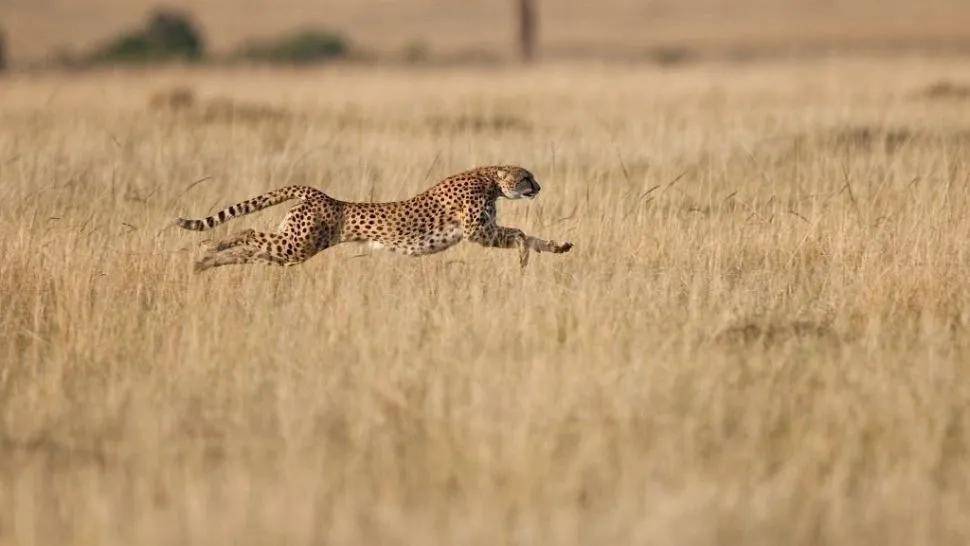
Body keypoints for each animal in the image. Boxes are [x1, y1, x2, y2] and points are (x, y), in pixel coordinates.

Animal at [174, 164, 572, 270]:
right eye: (526, 177)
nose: (539, 187)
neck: (489, 178)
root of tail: (318, 193)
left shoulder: (484, 229)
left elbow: (532, 235)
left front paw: (557, 246)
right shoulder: (478, 232)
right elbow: (518, 232)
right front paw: (523, 256)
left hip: (290, 245)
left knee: (252, 247)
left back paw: (206, 260)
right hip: (298, 245)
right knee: (249, 232)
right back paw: (209, 248)